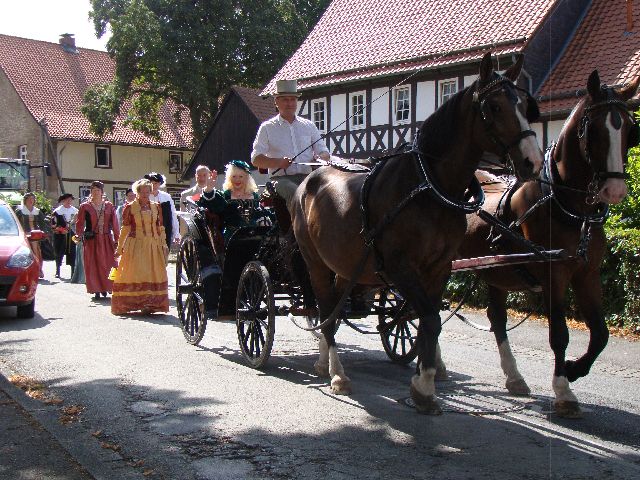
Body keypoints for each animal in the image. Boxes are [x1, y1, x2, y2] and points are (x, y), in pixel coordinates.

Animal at [291, 52, 544, 415]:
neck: (429, 187)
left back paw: (324, 362)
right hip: (314, 263)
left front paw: (425, 381)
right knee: (326, 309)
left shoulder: (438, 268)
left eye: (525, 104)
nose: (532, 161)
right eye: (494, 106)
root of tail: (308, 180)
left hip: (344, 265)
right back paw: (337, 373)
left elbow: (428, 321)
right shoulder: (400, 267)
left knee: (334, 311)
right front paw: (424, 387)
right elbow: (430, 320)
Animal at [457, 71, 640, 418]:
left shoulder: (587, 275)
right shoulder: (554, 274)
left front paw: (574, 369)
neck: (565, 205)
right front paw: (564, 389)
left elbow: (600, 334)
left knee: (496, 318)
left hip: (496, 272)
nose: (614, 191)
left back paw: (514, 376)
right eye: (594, 129)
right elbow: (559, 334)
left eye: (628, 128)